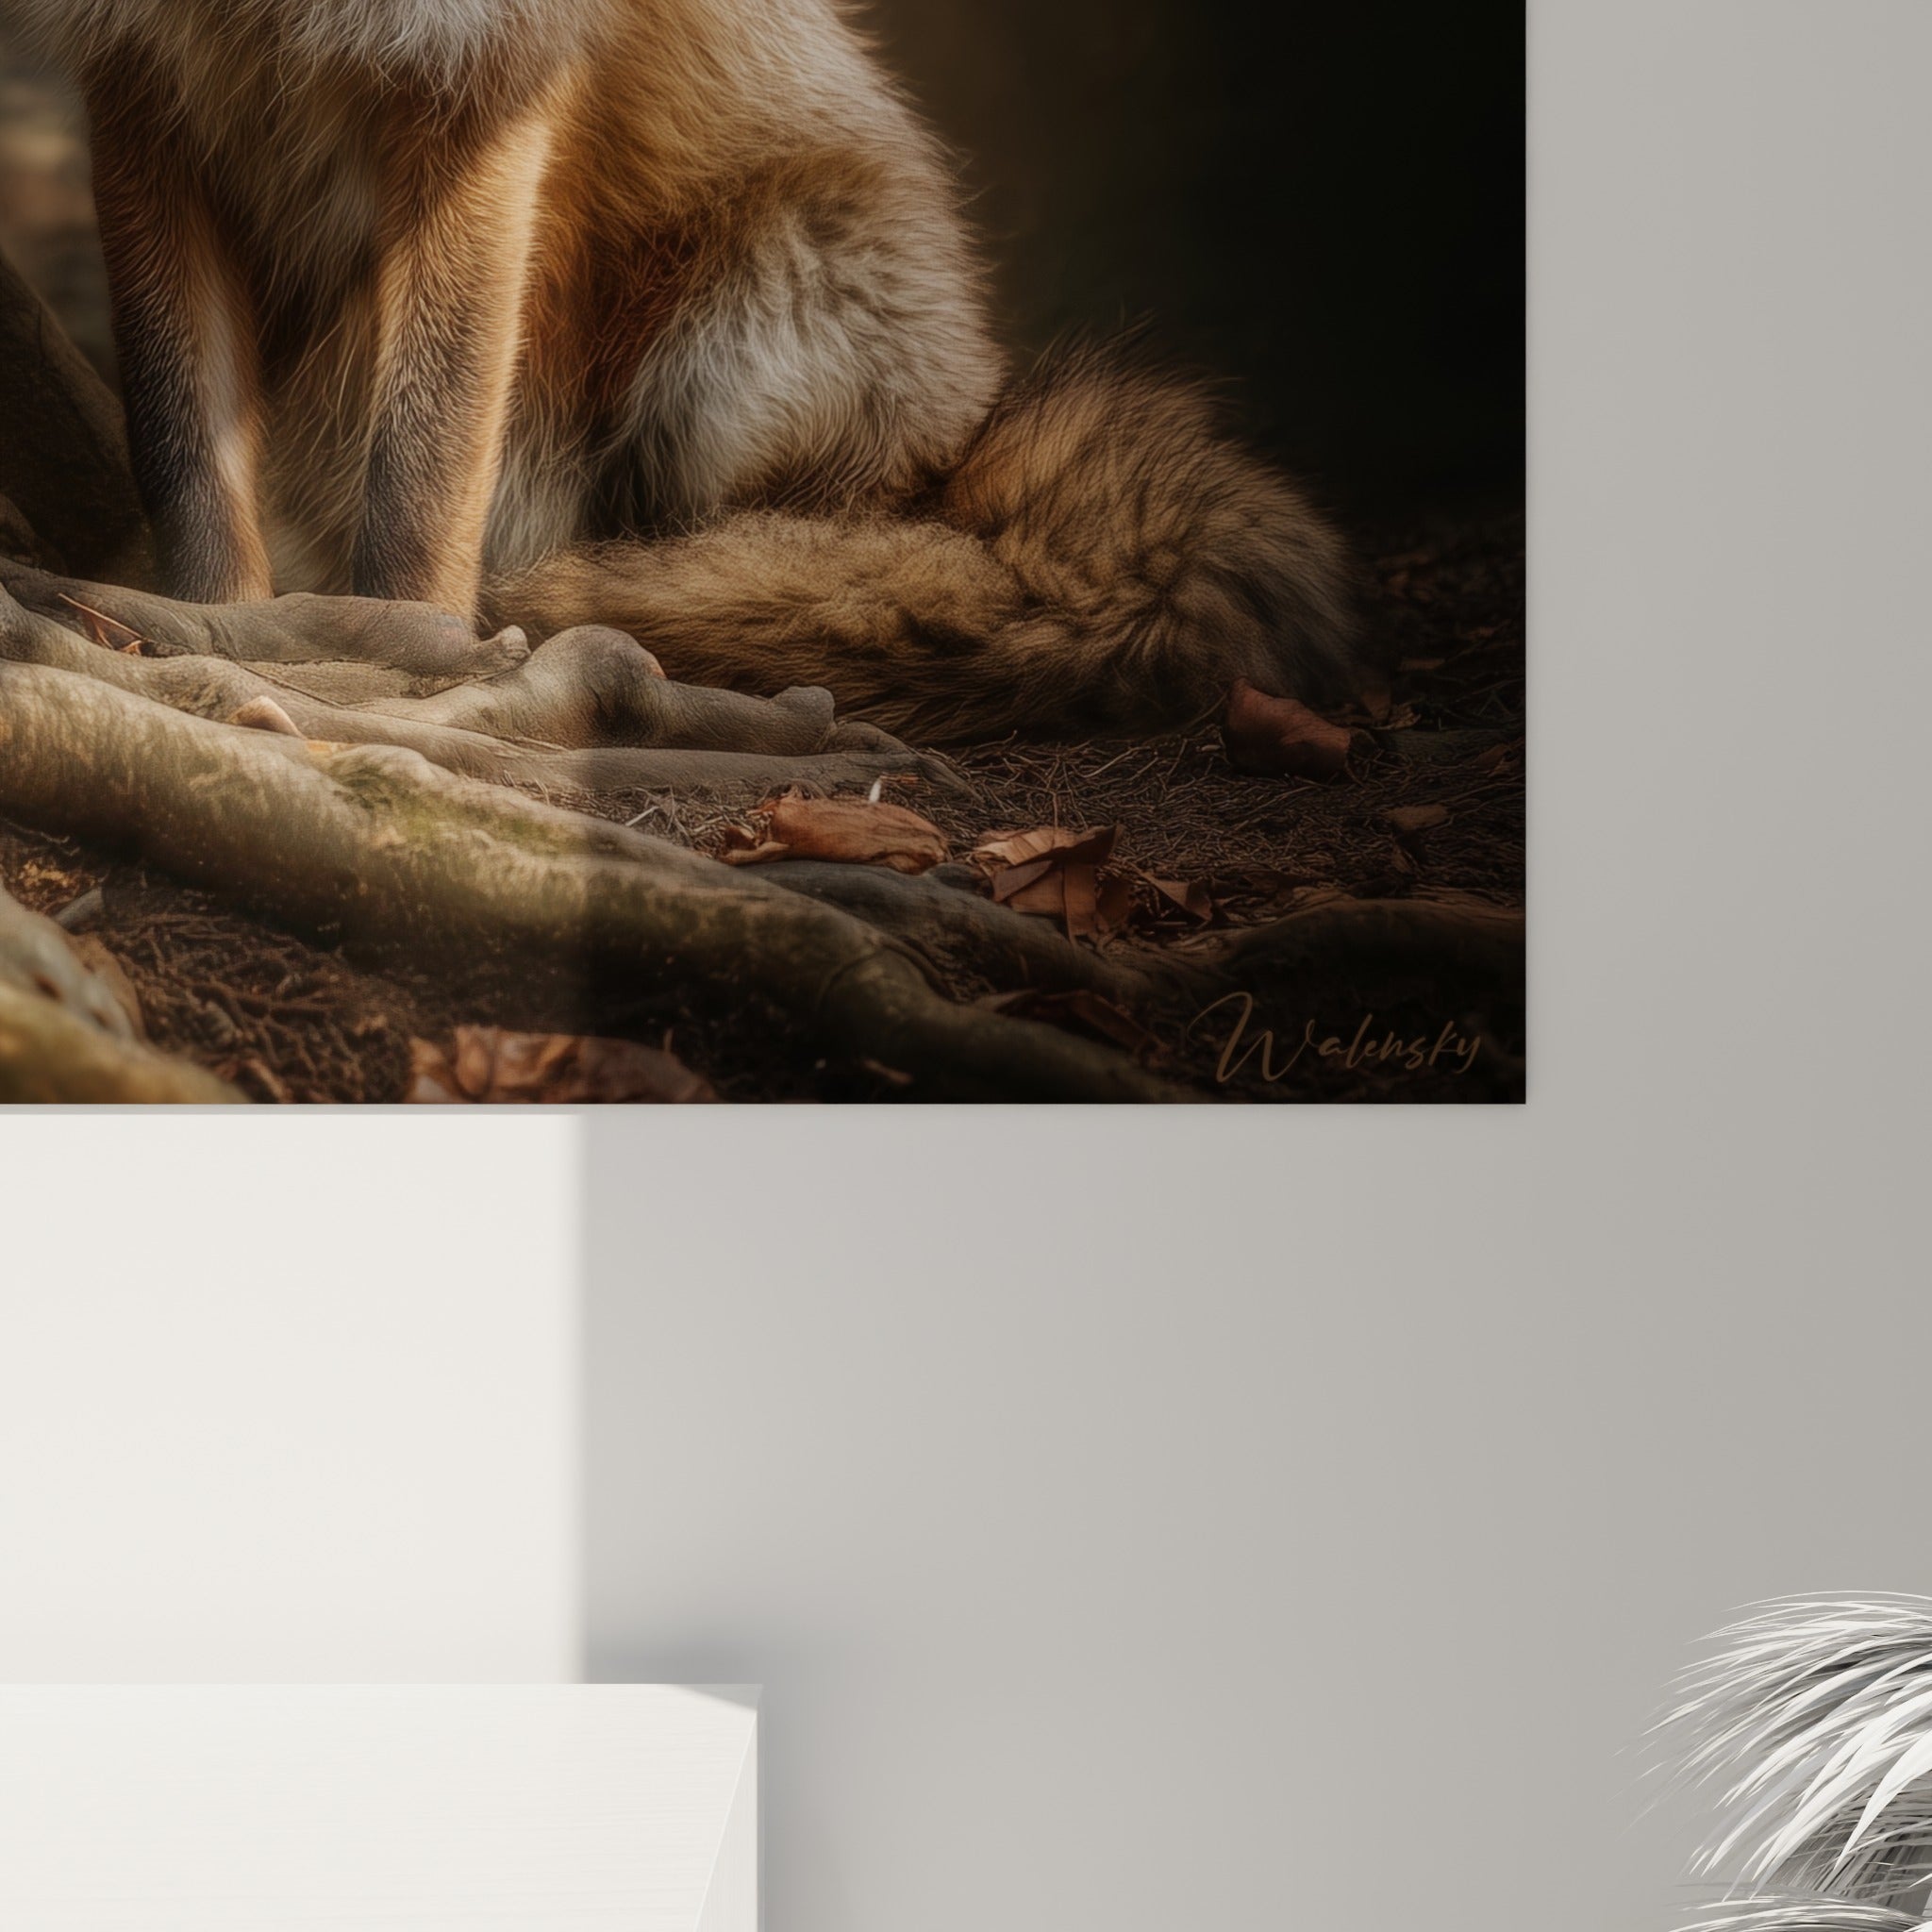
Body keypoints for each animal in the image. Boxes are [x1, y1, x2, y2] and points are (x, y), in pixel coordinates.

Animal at [12, 0, 1364, 741]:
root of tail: (961, 451)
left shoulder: (481, 81)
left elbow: (421, 476)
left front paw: (387, 667)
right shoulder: (141, 87)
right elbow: (183, 451)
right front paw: (214, 634)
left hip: (743, 344)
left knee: (787, 555)